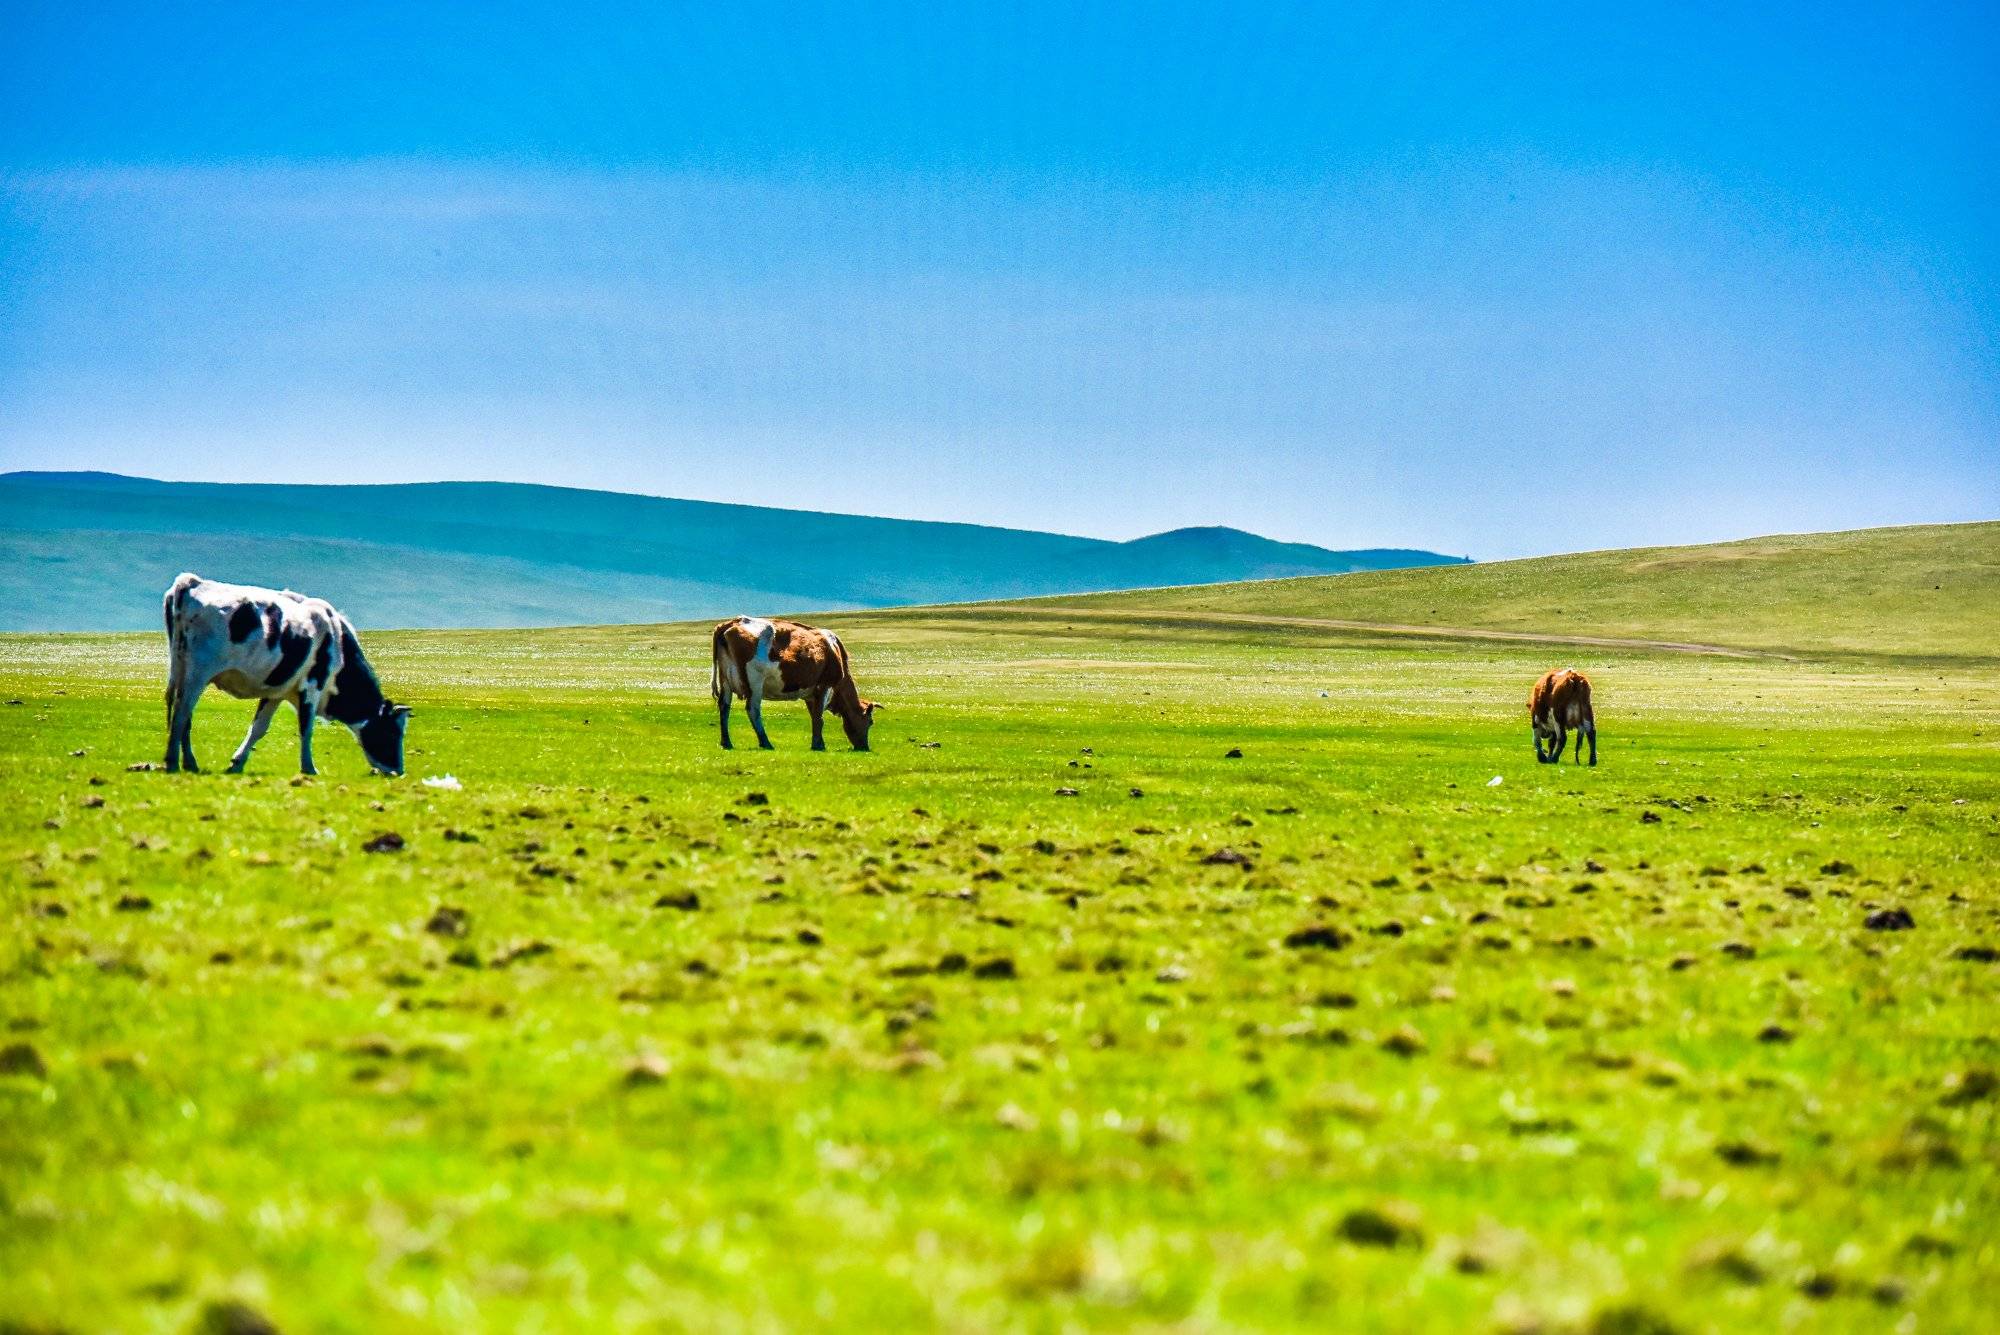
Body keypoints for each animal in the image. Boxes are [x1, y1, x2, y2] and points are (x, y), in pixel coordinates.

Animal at [161, 571, 410, 775]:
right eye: (393, 733)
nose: (398, 770)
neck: (337, 643)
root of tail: (192, 582)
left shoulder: (276, 692)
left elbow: (259, 727)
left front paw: (237, 763)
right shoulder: (312, 685)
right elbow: (306, 728)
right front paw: (309, 768)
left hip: (183, 669)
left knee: (186, 715)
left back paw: (189, 763)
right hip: (198, 672)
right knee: (182, 711)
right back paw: (173, 761)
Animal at [716, 615, 880, 751]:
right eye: (870, 721)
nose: (864, 747)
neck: (836, 652)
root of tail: (733, 622)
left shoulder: (810, 694)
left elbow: (814, 716)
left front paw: (818, 742)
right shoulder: (824, 685)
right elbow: (819, 717)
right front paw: (819, 745)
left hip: (725, 681)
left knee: (724, 707)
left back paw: (726, 742)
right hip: (755, 682)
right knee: (753, 709)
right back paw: (766, 743)